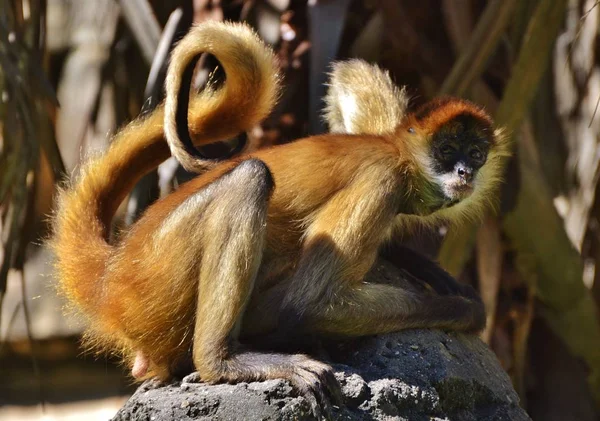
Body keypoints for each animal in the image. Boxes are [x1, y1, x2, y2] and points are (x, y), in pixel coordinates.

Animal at [52, 20, 510, 420]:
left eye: (475, 154)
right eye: (447, 151)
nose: (464, 172)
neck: (394, 150)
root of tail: (113, 271)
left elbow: (348, 70)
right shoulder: (383, 179)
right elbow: (309, 304)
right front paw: (465, 308)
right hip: (156, 277)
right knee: (250, 177)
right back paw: (222, 362)